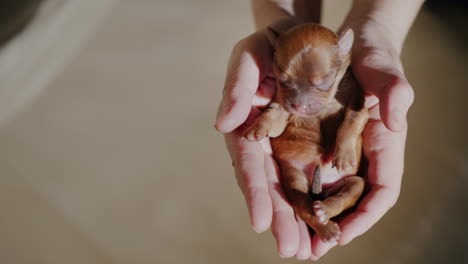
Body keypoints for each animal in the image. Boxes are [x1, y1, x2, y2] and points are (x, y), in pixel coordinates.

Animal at [243, 23, 368, 242]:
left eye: (322, 83)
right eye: (283, 81)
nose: (298, 106)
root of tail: (321, 191)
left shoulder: (359, 104)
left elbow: (350, 123)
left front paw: (343, 155)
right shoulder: (280, 104)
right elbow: (272, 117)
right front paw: (257, 128)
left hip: (354, 182)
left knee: (346, 194)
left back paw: (325, 210)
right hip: (294, 177)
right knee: (303, 206)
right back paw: (325, 227)